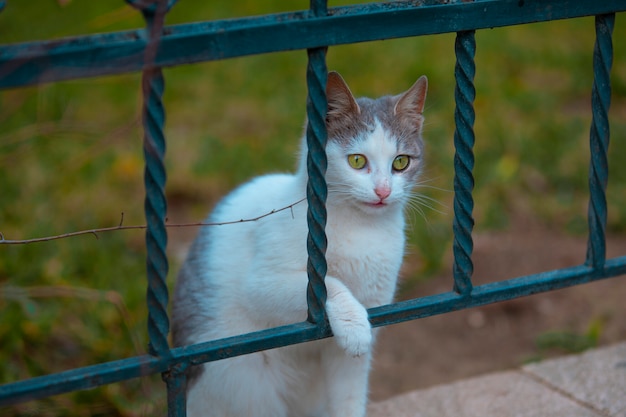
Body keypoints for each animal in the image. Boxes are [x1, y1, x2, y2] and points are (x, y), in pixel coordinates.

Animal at [171, 71, 424, 416]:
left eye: (400, 163)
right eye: (357, 161)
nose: (383, 191)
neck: (363, 230)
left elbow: (349, 398)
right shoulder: (262, 285)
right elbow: (328, 284)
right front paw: (353, 322)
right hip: (251, 386)